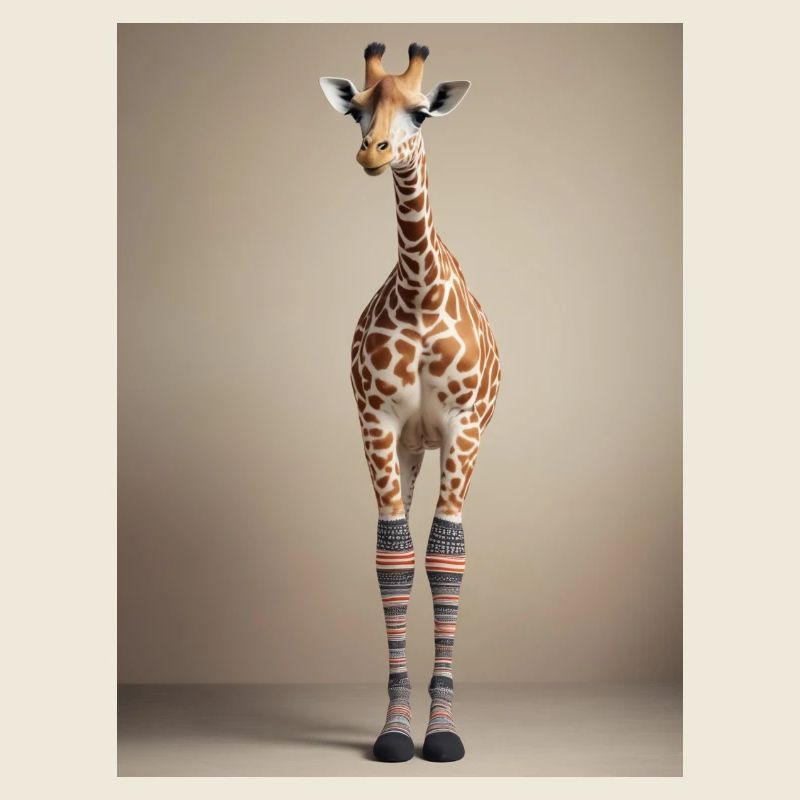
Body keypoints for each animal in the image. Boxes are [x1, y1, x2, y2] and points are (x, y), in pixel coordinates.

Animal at [320, 42, 501, 763]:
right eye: (358, 110)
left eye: (421, 112)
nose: (372, 152)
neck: (421, 293)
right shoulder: (377, 423)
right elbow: (392, 559)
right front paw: (397, 730)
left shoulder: (463, 428)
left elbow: (447, 559)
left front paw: (442, 731)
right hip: (407, 448)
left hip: (437, 444)